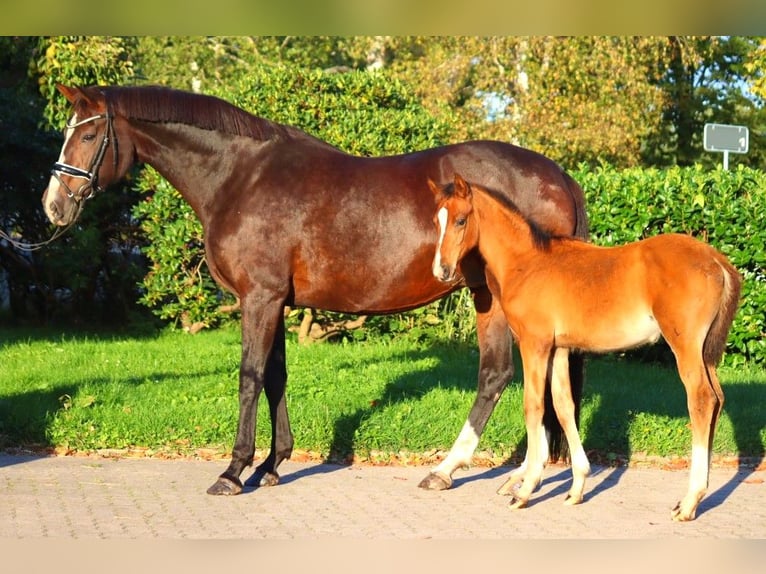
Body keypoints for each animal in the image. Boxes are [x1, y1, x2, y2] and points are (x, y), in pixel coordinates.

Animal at [42, 83, 592, 498]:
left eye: (88, 133)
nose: (53, 206)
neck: (240, 177)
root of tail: (558, 174)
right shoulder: (275, 301)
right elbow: (276, 377)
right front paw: (271, 465)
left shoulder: (259, 298)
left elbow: (249, 377)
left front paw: (233, 471)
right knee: (511, 377)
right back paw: (496, 470)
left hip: (497, 297)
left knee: (505, 375)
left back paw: (460, 469)